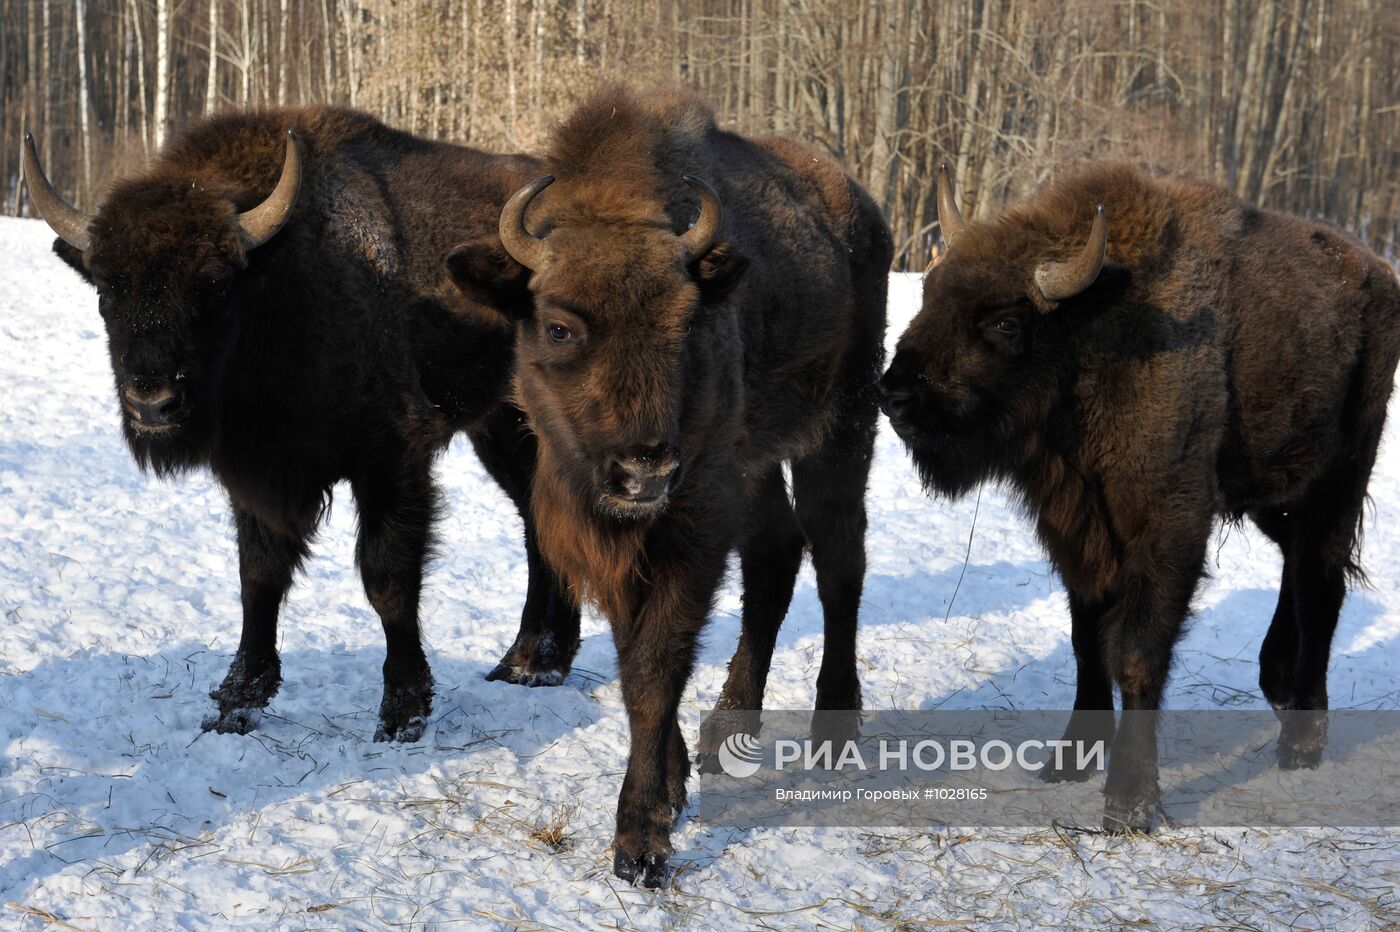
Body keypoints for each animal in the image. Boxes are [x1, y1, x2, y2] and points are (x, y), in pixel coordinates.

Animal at [21, 103, 579, 738]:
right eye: (106, 287)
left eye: (215, 283)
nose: (153, 405)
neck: (279, 284)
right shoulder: (255, 475)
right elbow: (258, 577)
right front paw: (237, 702)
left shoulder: (391, 463)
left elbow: (386, 579)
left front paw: (402, 713)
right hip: (499, 430)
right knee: (539, 520)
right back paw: (529, 663)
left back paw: (532, 664)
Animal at [445, 88, 884, 884]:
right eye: (558, 326)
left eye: (687, 322)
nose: (644, 468)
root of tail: (858, 206)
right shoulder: (623, 539)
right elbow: (634, 657)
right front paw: (676, 784)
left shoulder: (692, 524)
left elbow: (655, 668)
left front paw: (641, 840)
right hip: (756, 464)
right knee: (777, 556)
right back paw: (729, 726)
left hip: (841, 426)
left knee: (840, 559)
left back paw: (834, 729)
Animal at [879, 159, 1400, 828]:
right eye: (929, 294)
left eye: (1005, 321)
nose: (895, 395)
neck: (1094, 332)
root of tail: (1378, 274)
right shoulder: (1077, 532)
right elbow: (1086, 643)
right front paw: (1070, 760)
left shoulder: (1167, 527)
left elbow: (1135, 651)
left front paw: (1129, 800)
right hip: (1273, 494)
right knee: (1299, 566)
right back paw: (1278, 686)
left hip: (1337, 480)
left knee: (1320, 583)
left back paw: (1302, 743)